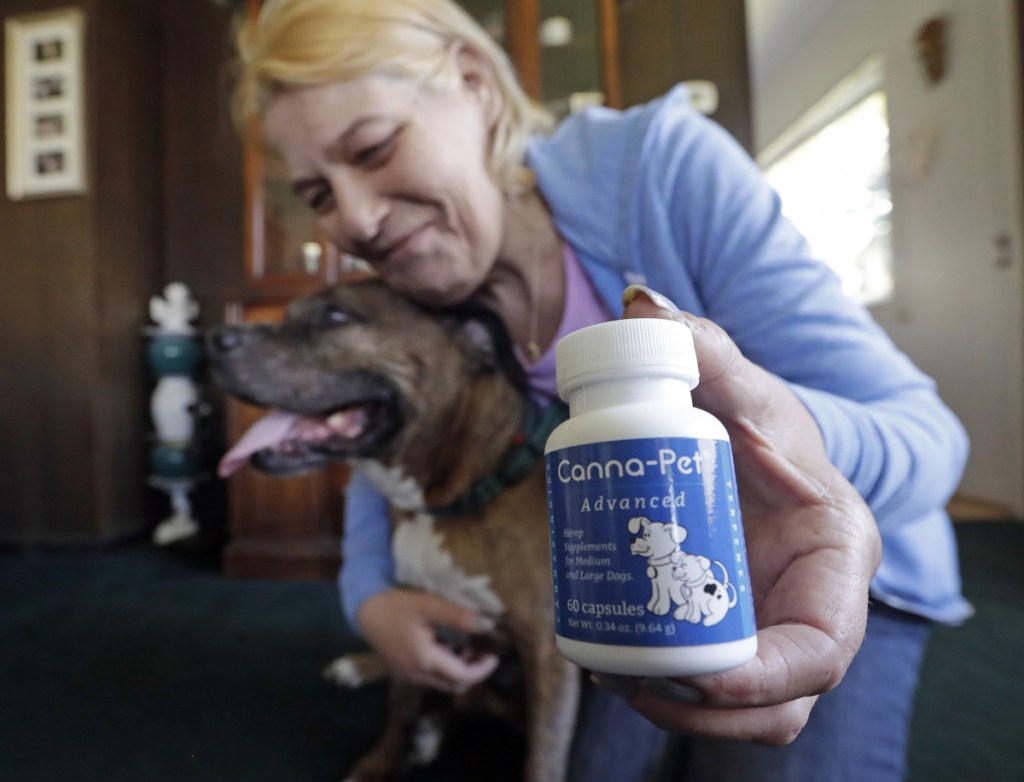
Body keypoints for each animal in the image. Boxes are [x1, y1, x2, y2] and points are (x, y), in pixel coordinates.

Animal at [207, 278, 581, 777]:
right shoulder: (412, 616)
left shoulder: (547, 655)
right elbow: (401, 703)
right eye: (288, 314)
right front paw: (378, 765)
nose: (213, 338)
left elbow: (544, 758)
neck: (446, 499)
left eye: (336, 317)